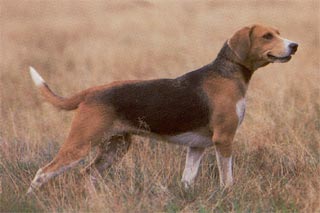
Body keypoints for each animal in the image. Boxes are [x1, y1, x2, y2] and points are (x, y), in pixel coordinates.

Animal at [26, 24, 298, 194]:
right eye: (267, 36)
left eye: (278, 33)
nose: (294, 45)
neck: (227, 73)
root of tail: (91, 91)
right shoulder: (224, 139)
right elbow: (226, 176)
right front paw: (228, 194)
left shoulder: (197, 147)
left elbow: (187, 178)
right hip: (80, 145)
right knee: (43, 172)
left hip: (116, 148)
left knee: (88, 174)